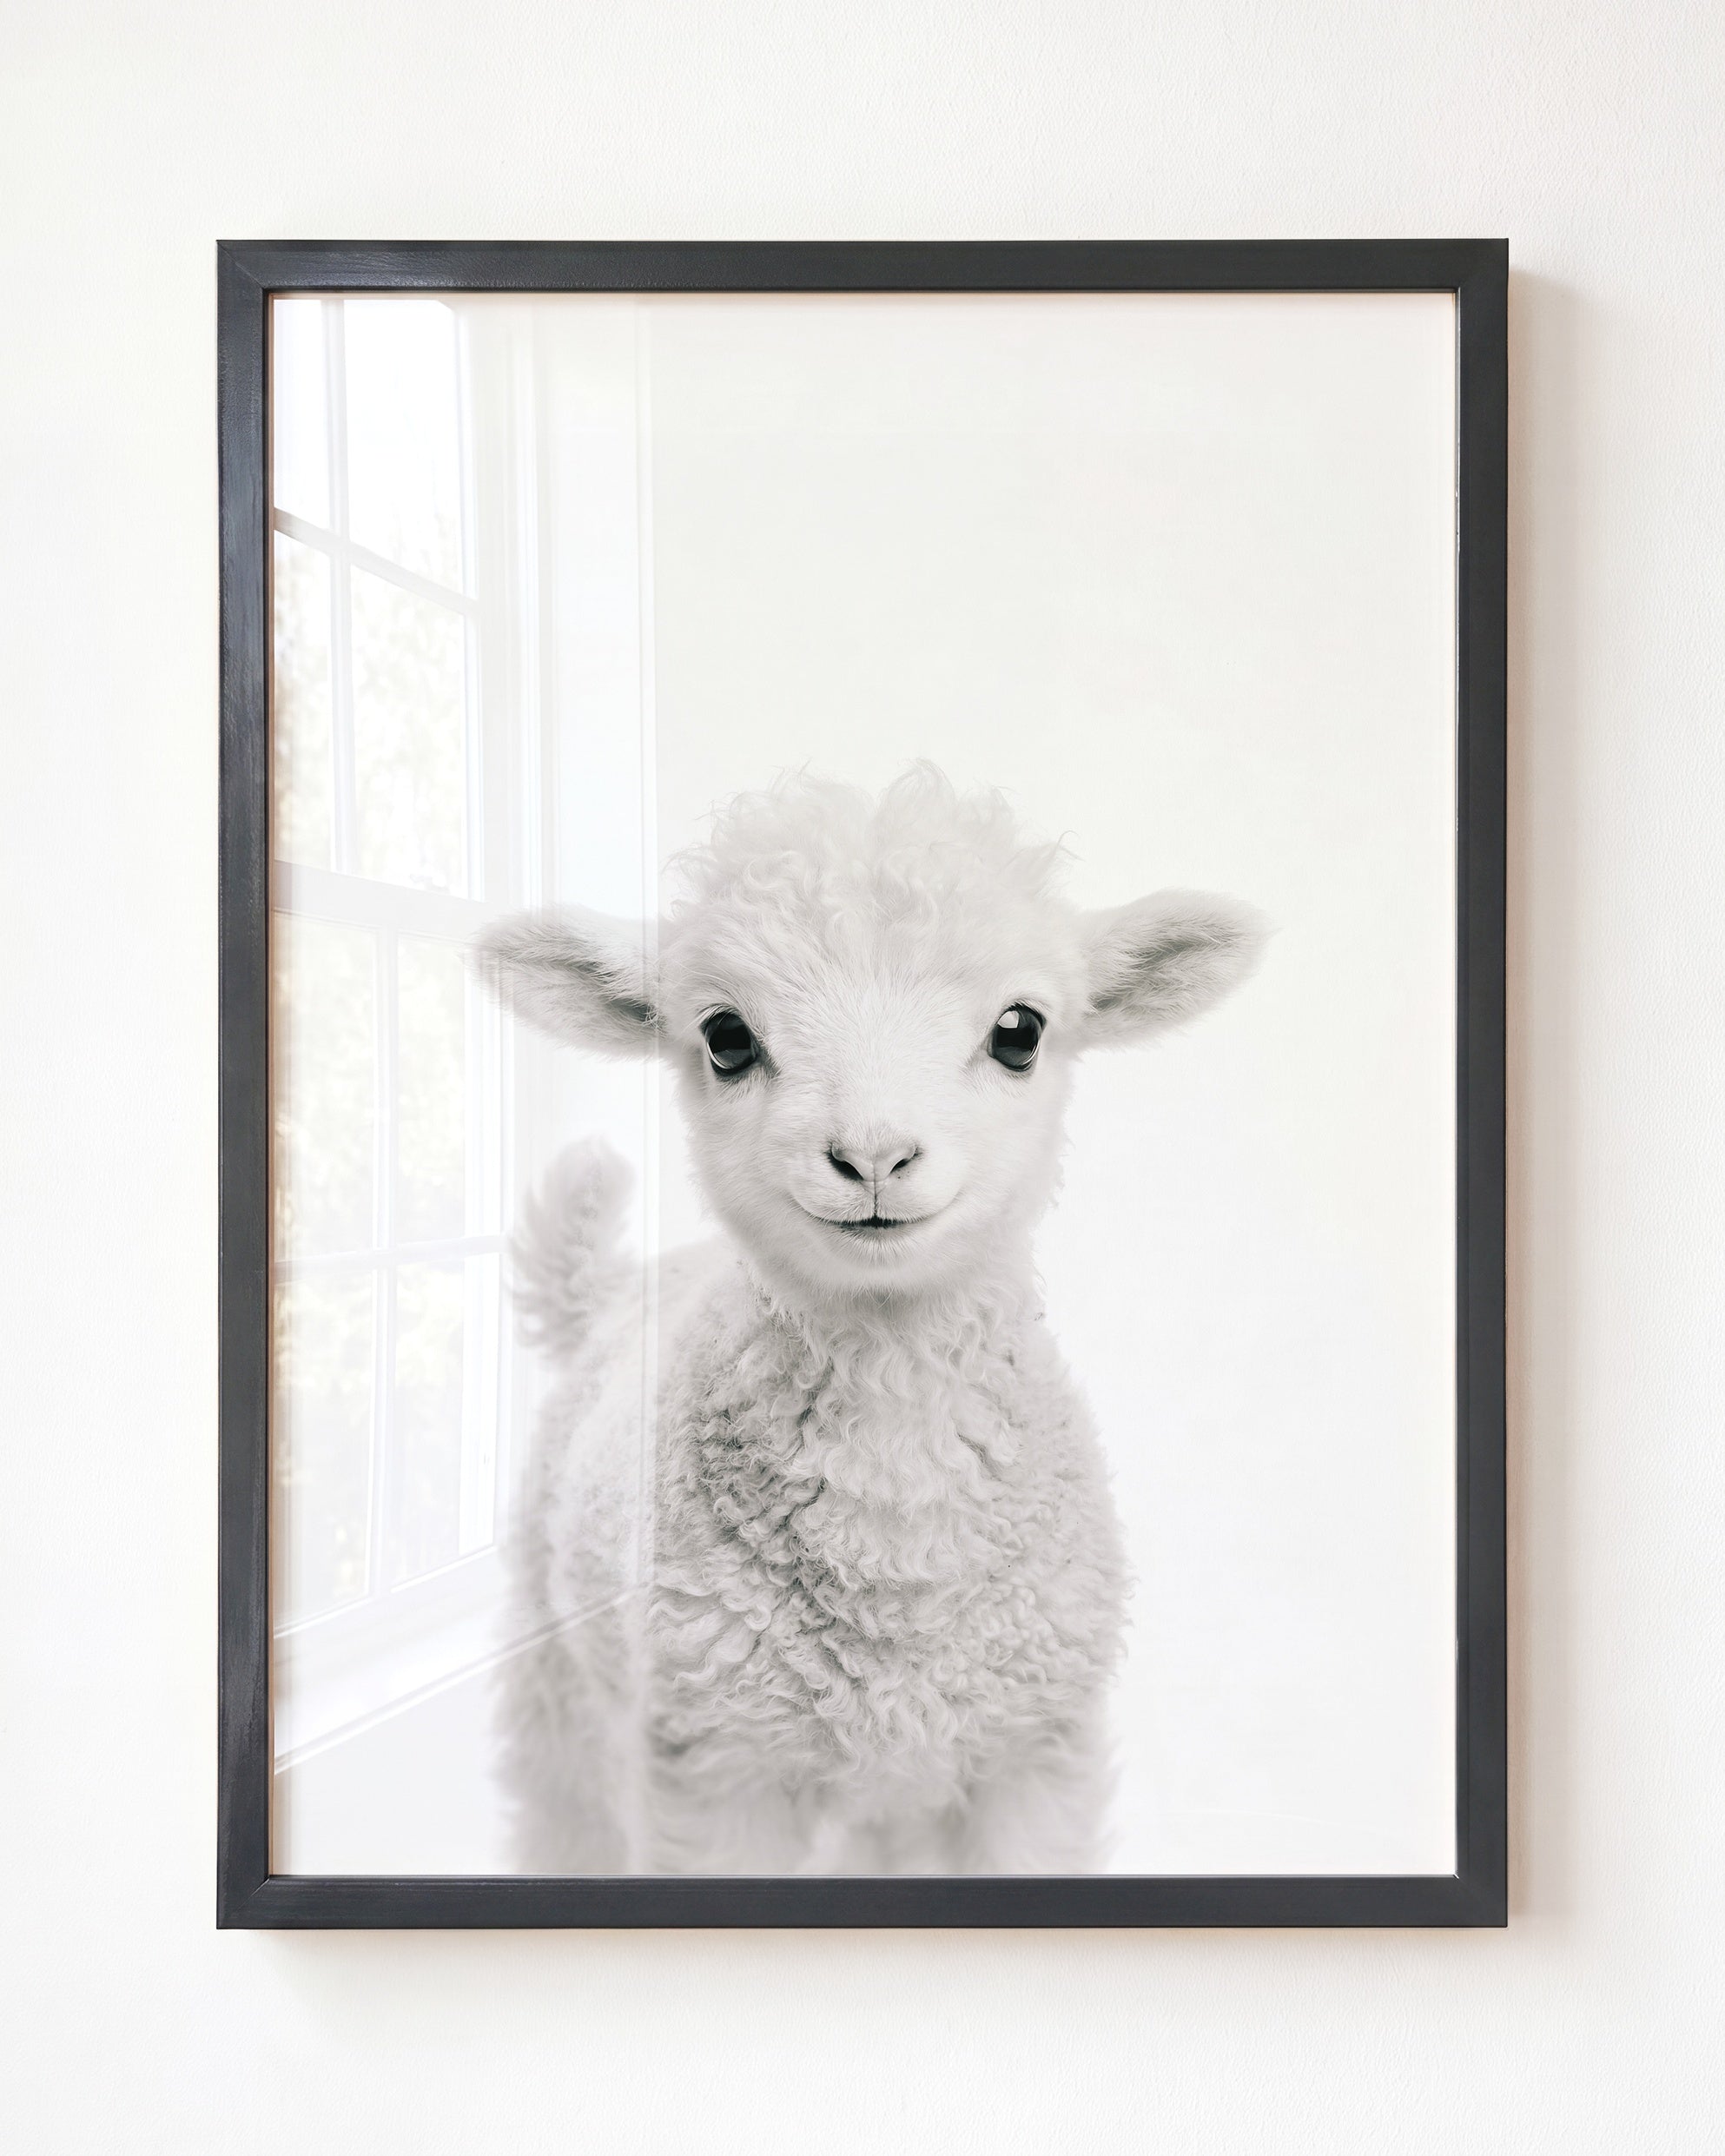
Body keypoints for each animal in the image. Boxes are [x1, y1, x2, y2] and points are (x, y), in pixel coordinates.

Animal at [475, 764, 1263, 1874]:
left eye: (1020, 1031)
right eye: (726, 1037)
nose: (874, 1156)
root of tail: (618, 1287)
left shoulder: (1032, 1759)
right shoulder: (718, 1772)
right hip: (561, 1688)